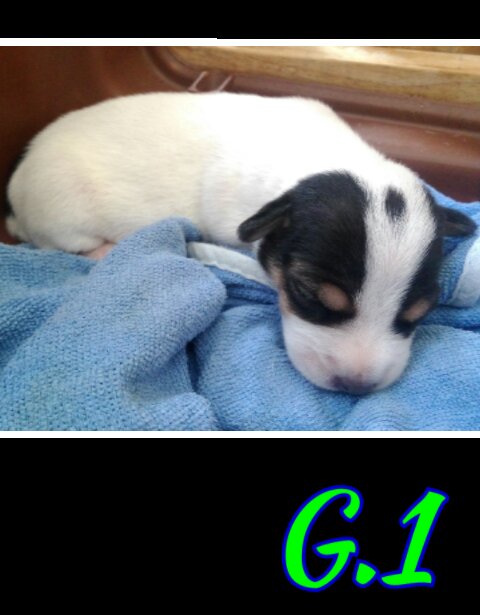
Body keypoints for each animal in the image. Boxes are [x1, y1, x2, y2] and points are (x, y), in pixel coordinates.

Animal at [5, 92, 476, 394]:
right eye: (307, 293)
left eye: (420, 312)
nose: (356, 387)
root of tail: (16, 184)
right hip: (65, 211)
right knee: (63, 244)